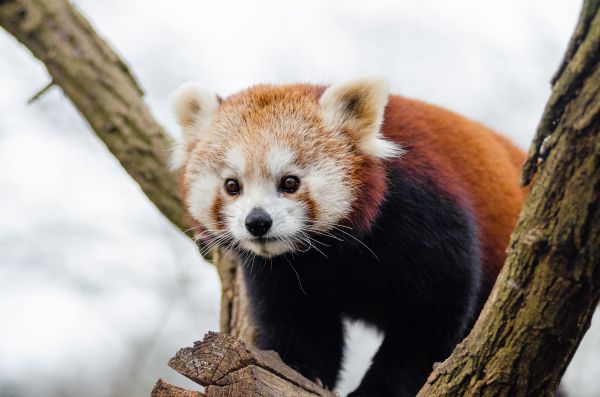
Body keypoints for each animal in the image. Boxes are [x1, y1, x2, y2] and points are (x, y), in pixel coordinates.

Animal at [169, 79, 524, 394]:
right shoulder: (280, 273)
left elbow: (430, 317)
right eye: (232, 185)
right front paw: (302, 371)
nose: (257, 222)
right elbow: (298, 322)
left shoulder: (425, 217)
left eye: (290, 182)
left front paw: (379, 390)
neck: (330, 252)